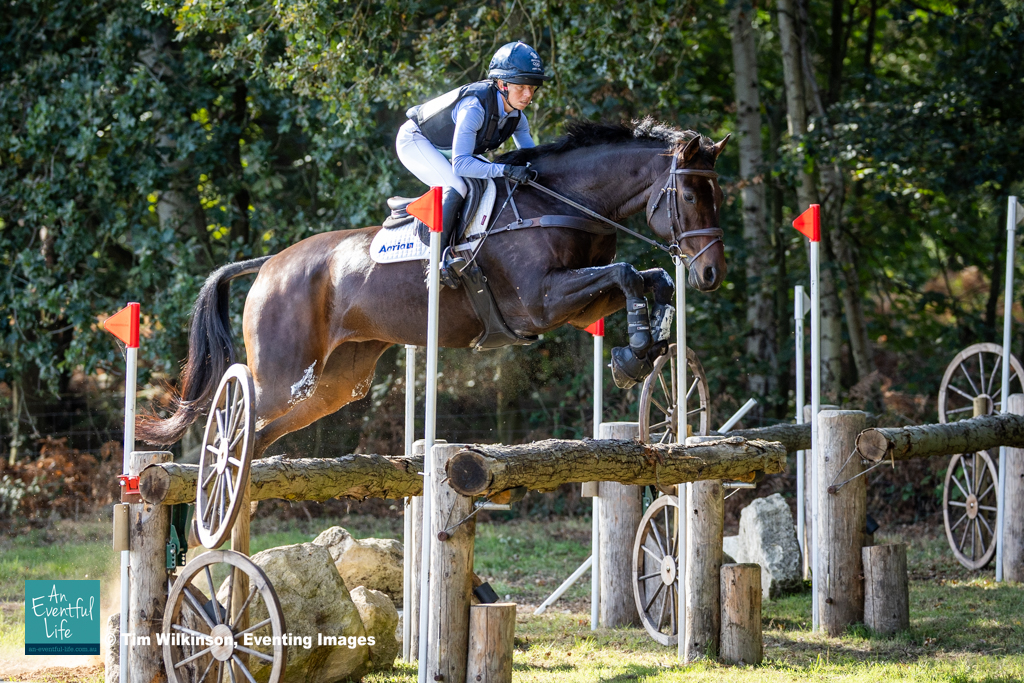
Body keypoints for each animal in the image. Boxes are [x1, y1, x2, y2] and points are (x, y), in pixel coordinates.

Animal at [137, 118, 729, 457]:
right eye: (690, 196)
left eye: (715, 194)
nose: (709, 275)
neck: (561, 202)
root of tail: (268, 265)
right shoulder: (541, 303)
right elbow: (628, 273)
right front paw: (636, 354)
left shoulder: (577, 305)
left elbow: (647, 279)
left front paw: (642, 350)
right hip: (283, 375)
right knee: (235, 420)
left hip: (335, 383)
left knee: (259, 436)